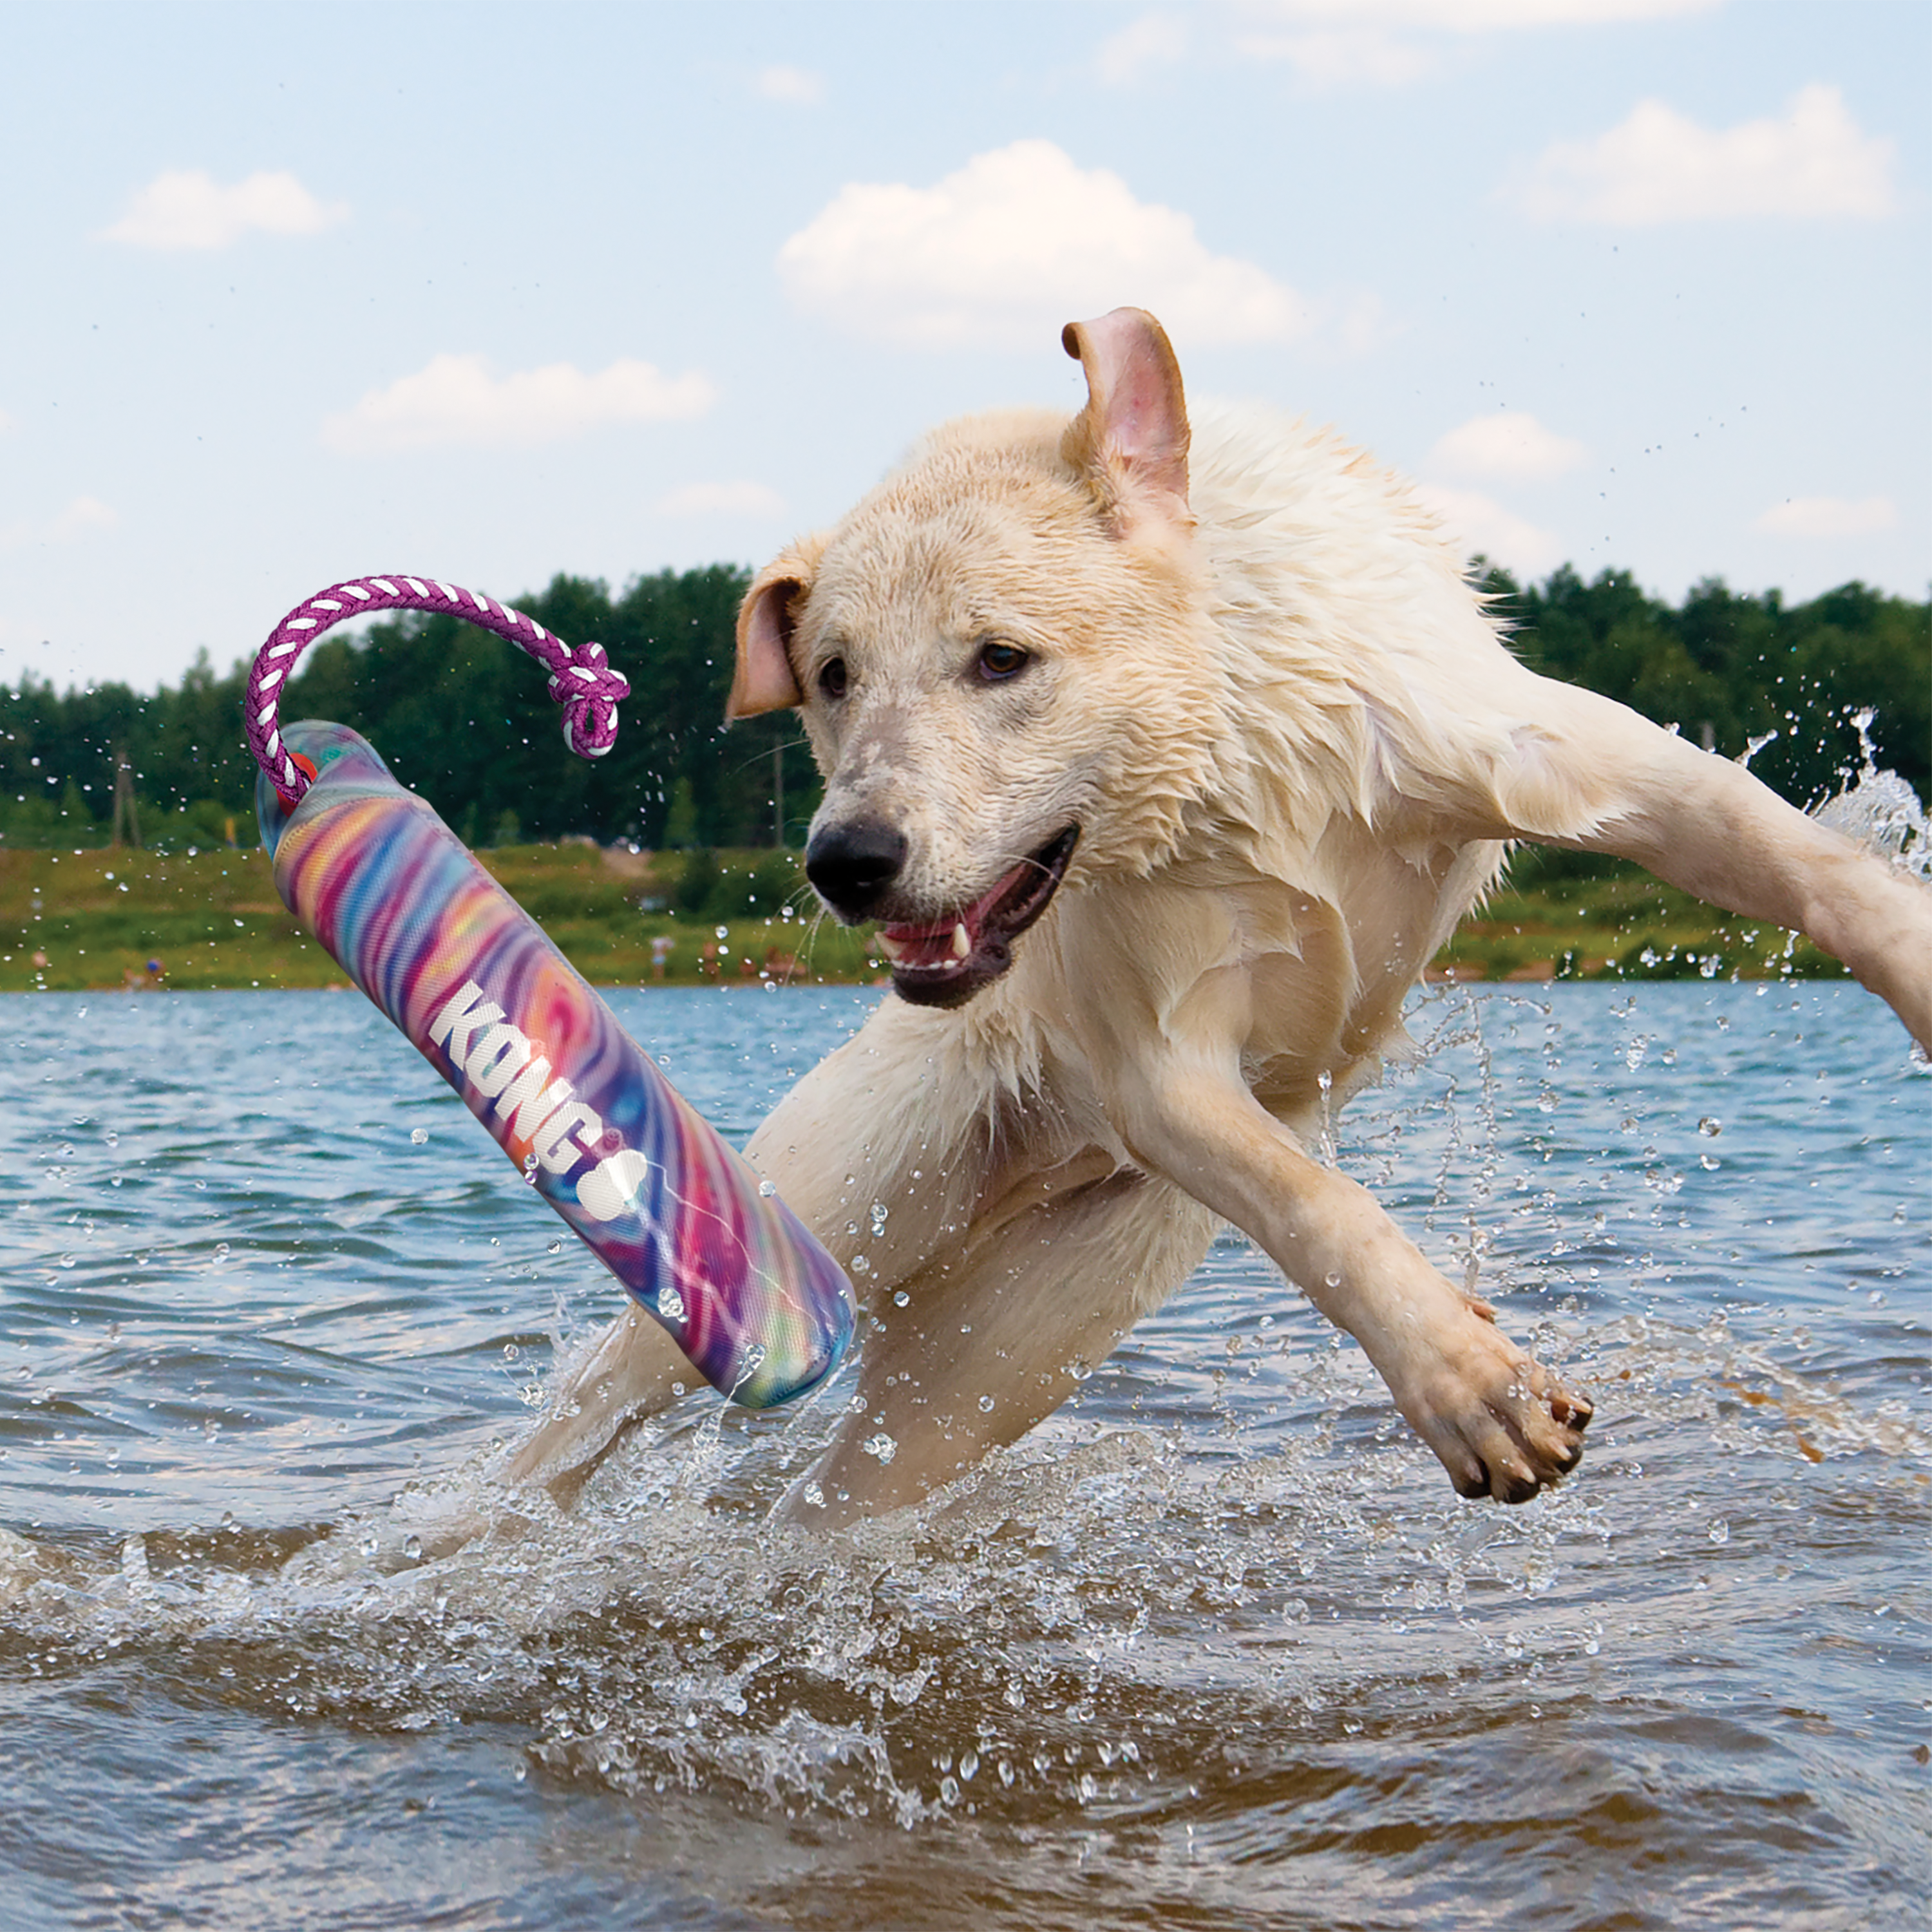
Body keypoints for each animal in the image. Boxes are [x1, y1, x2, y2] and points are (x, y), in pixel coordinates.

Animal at [510, 309, 1932, 1522]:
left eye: (1002, 658)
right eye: (831, 676)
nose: (844, 862)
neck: (1222, 758)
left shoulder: (1569, 760)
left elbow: (1816, 873)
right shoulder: (1161, 1065)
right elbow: (1314, 1205)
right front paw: (1469, 1388)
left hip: (997, 1360)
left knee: (830, 1506)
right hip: (795, 1234)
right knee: (571, 1433)